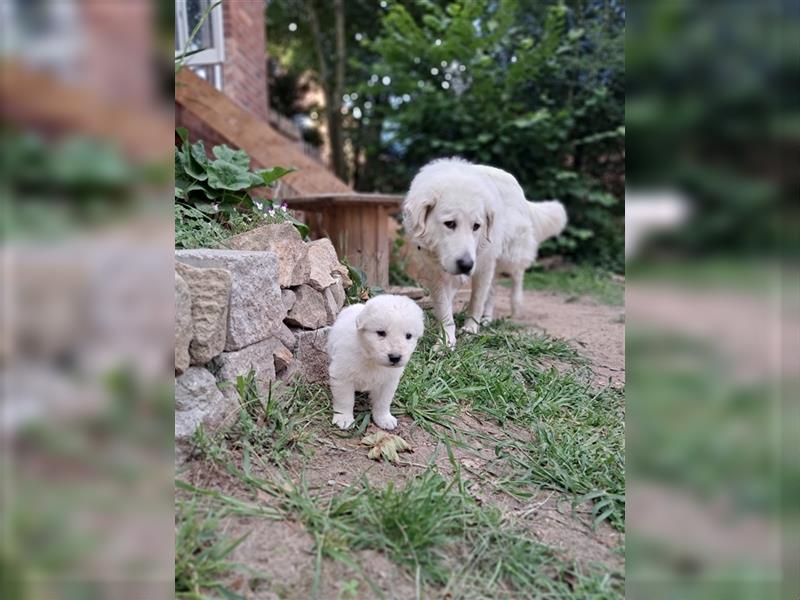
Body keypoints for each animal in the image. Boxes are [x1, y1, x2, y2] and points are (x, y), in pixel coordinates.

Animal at [326, 292, 424, 428]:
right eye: (381, 333)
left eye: (408, 336)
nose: (395, 357)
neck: (370, 358)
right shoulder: (342, 375)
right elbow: (345, 400)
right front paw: (344, 418)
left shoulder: (389, 381)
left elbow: (383, 402)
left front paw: (384, 419)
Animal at [404, 157, 564, 350]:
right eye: (450, 224)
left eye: (476, 226)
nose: (466, 265)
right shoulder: (436, 272)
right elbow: (444, 308)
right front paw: (446, 341)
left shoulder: (483, 264)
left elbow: (477, 300)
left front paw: (470, 329)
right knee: (492, 289)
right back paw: (487, 319)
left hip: (509, 256)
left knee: (517, 275)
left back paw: (516, 305)